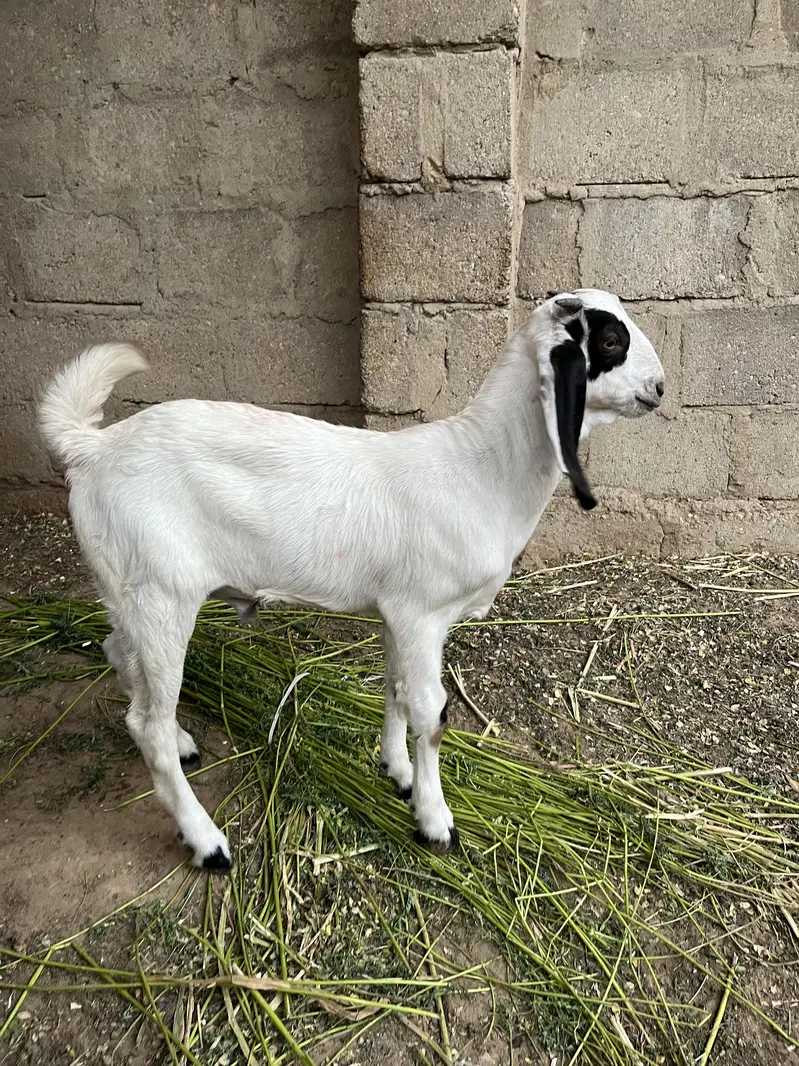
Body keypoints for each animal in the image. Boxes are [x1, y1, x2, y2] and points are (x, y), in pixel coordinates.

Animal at [38, 289, 665, 870]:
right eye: (611, 340)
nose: (659, 388)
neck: (481, 470)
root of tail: (92, 447)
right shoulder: (422, 614)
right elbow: (431, 713)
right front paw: (435, 820)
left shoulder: (398, 613)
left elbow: (395, 690)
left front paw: (398, 771)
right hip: (163, 597)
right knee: (146, 723)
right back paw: (206, 839)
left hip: (128, 590)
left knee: (119, 658)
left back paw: (185, 742)